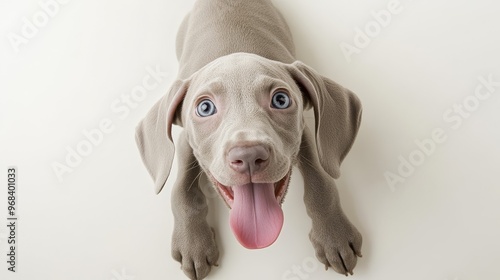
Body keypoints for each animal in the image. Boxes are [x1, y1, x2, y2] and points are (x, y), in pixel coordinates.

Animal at [136, 0, 364, 280]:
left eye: (281, 100)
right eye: (204, 108)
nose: (248, 155)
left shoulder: (304, 134)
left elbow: (320, 180)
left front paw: (335, 235)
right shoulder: (184, 143)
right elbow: (180, 190)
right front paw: (193, 245)